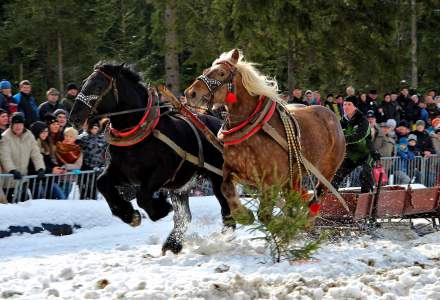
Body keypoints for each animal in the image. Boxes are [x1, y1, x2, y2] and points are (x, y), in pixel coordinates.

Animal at [184, 49, 346, 224]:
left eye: (221, 73)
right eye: (206, 70)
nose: (190, 93)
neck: (250, 125)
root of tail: (332, 116)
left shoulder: (272, 180)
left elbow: (264, 214)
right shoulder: (231, 169)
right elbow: (225, 187)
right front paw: (244, 215)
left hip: (328, 170)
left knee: (318, 196)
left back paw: (304, 221)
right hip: (294, 175)